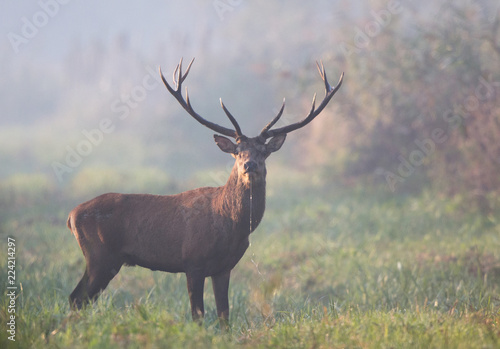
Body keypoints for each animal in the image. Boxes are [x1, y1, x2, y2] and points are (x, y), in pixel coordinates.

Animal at [67, 56, 344, 320]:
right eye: (238, 151)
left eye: (263, 152)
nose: (249, 165)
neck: (230, 225)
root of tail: (71, 215)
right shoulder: (193, 261)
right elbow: (198, 314)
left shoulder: (224, 267)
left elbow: (224, 315)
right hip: (100, 256)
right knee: (76, 297)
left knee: (79, 298)